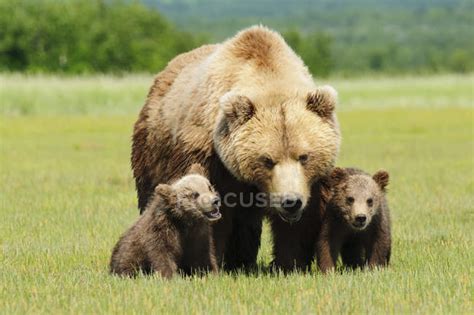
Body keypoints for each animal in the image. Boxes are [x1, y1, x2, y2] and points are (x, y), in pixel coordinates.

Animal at [131, 25, 338, 272]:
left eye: (304, 156)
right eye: (267, 159)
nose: (290, 202)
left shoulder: (310, 182)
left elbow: (303, 222)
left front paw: (290, 263)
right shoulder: (209, 156)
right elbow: (210, 210)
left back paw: (242, 262)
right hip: (152, 148)